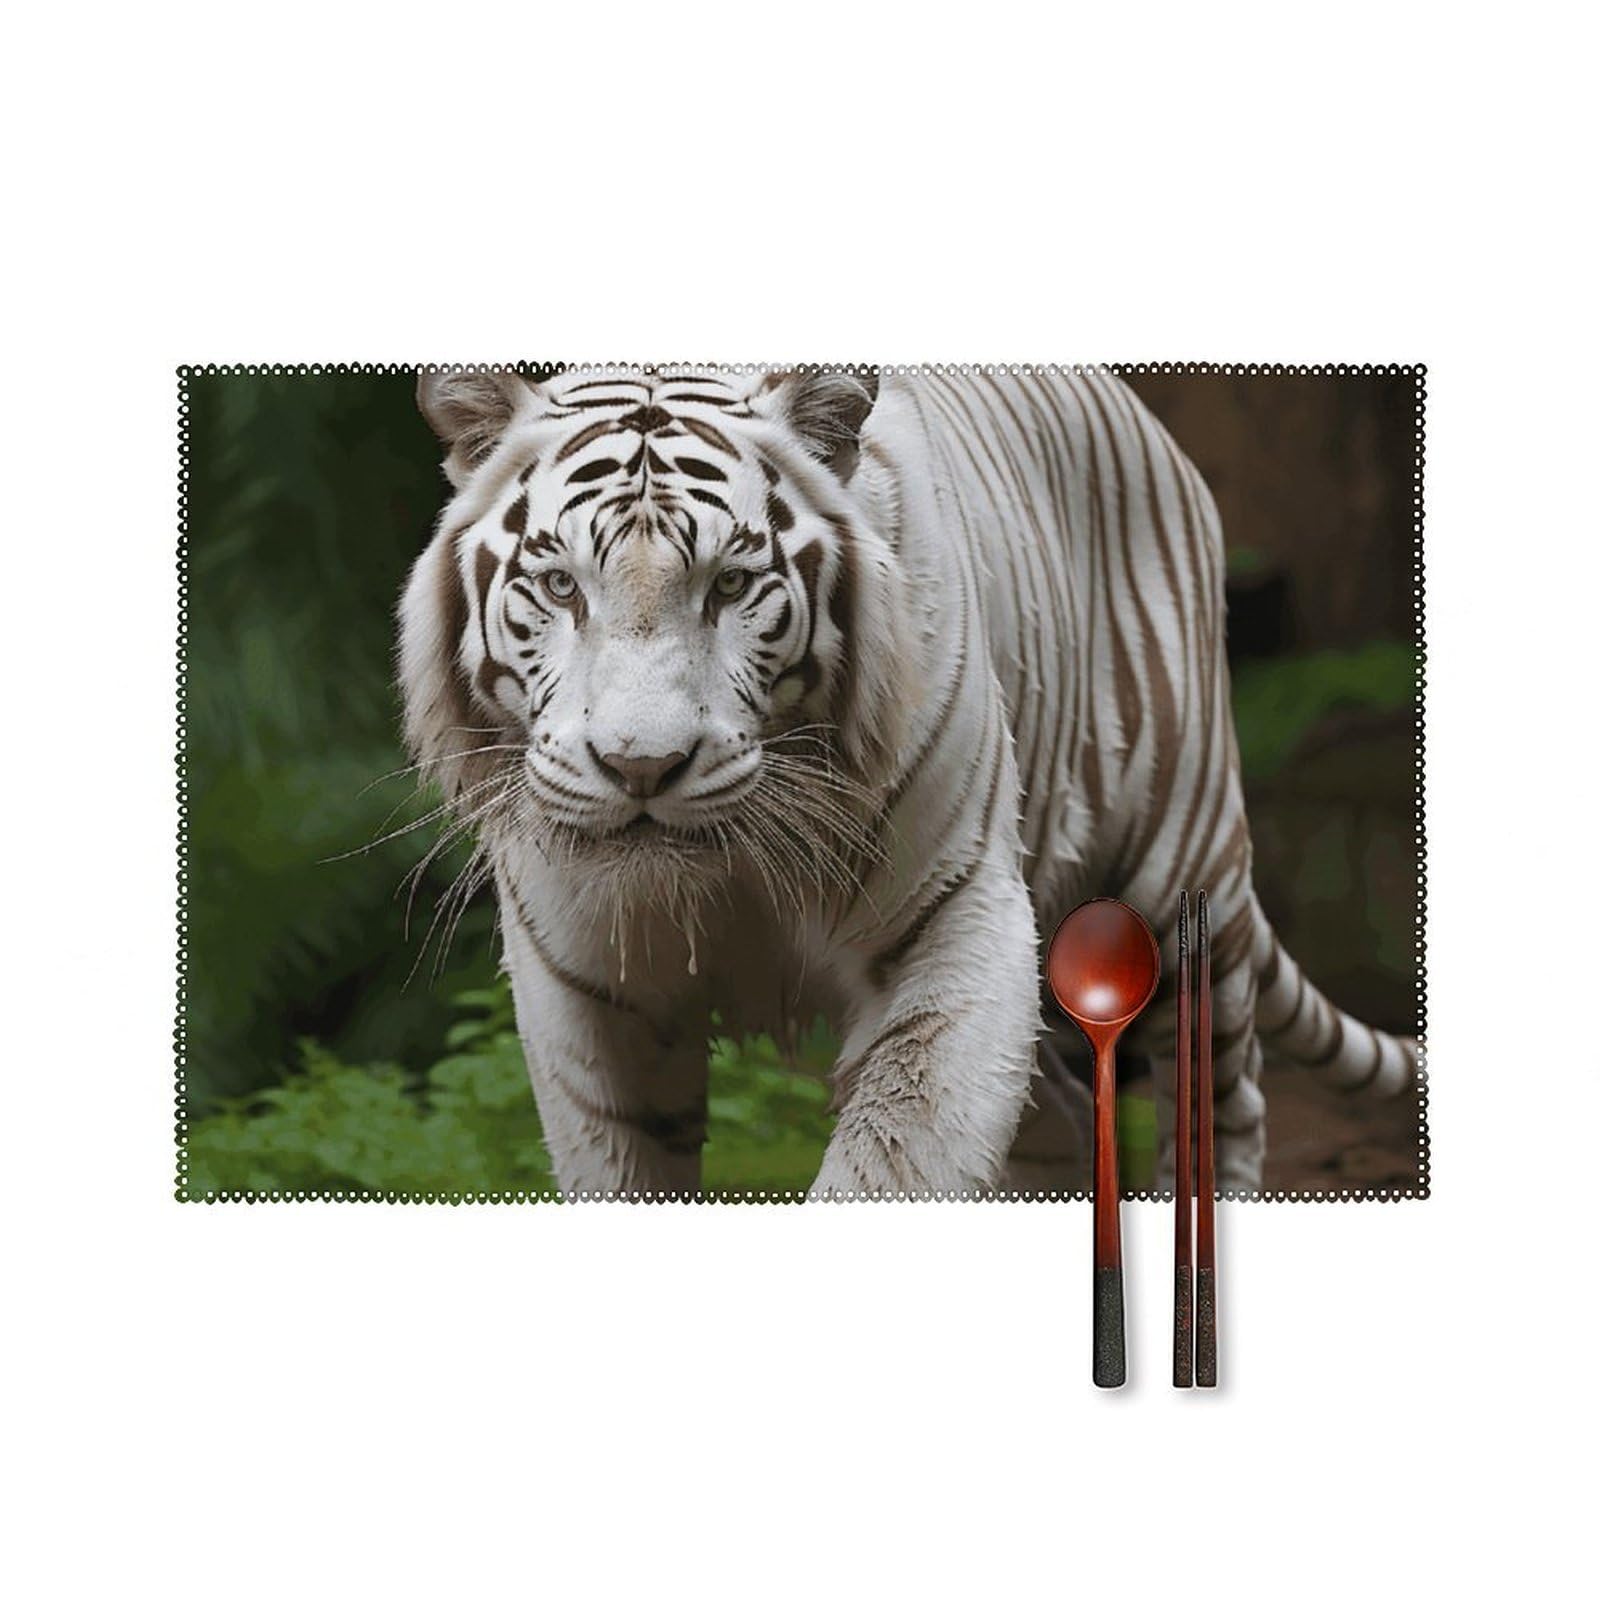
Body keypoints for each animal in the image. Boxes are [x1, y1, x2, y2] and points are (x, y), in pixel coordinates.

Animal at [397, 364, 1418, 1198]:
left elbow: (899, 1162)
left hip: (1180, 858)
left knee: (1225, 1099)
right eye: (561, 586)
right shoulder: (583, 989)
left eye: (730, 585)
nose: (642, 765)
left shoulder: (957, 924)